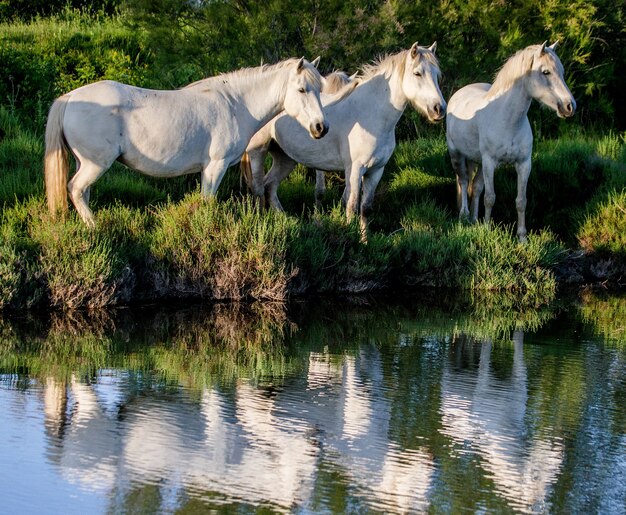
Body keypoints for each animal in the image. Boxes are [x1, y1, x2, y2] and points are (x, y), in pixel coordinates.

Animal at [44, 57, 326, 226]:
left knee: (82, 192)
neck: (235, 103)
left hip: (85, 163)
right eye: (302, 89)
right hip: (95, 164)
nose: (320, 128)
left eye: (320, 89)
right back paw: (94, 227)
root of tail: (70, 97)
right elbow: (207, 201)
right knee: (75, 188)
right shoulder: (215, 166)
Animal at [239, 44, 444, 238]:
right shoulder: (354, 169)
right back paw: (262, 223)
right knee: (258, 188)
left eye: (437, 75)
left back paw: (286, 221)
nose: (439, 109)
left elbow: (365, 208)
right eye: (417, 73)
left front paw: (364, 241)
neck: (370, 114)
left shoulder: (376, 170)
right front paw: (350, 236)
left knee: (270, 186)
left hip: (285, 158)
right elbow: (351, 205)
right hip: (257, 153)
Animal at [446, 41, 572, 241]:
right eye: (545, 72)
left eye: (561, 71)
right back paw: (464, 216)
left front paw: (522, 238)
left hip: (477, 160)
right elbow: (490, 197)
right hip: (457, 155)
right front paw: (487, 229)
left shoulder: (523, 164)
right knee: (464, 181)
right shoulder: (490, 162)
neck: (508, 120)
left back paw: (474, 220)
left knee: (476, 187)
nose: (569, 106)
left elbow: (521, 200)